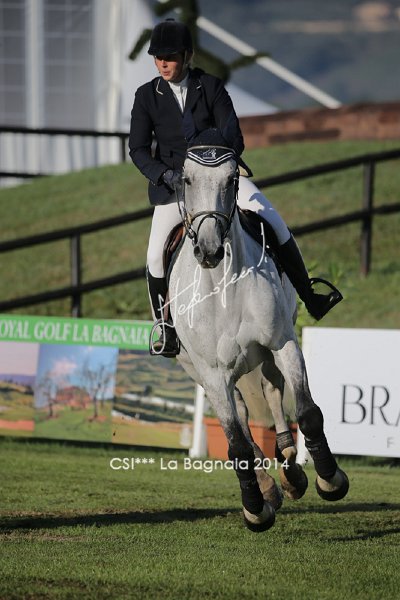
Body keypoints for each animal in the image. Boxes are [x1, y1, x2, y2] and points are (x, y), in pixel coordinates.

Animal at [163, 130, 349, 532]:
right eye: (186, 180)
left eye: (232, 179)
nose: (209, 251)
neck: (223, 285)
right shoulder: (213, 374)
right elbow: (236, 445)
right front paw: (255, 509)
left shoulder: (282, 343)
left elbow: (307, 412)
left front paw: (330, 479)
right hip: (201, 372)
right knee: (244, 419)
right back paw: (267, 487)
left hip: (264, 354)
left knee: (273, 391)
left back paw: (291, 471)